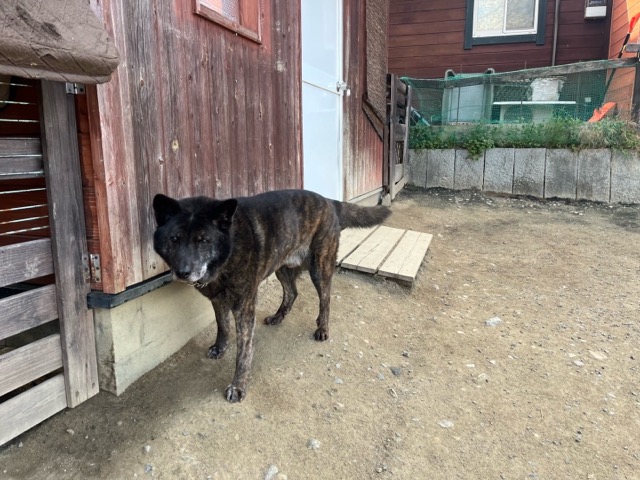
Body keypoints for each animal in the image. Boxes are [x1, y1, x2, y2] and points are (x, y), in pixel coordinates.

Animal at [152, 189, 391, 402]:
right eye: (174, 238)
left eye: (203, 240)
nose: (183, 272)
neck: (229, 247)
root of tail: (330, 201)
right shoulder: (217, 299)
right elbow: (222, 326)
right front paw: (220, 348)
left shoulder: (244, 307)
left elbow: (244, 351)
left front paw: (238, 386)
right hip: (281, 267)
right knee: (292, 292)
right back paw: (278, 317)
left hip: (320, 268)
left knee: (325, 299)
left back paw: (322, 328)